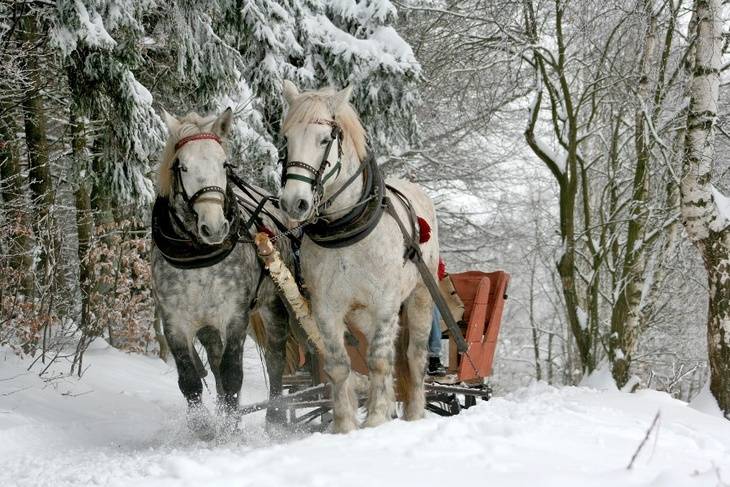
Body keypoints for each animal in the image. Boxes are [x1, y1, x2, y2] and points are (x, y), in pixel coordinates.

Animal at [278, 82, 438, 432]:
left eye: (325, 139)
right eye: (286, 139)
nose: (294, 203)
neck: (346, 228)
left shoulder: (386, 303)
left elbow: (379, 361)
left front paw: (376, 419)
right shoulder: (326, 308)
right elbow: (339, 365)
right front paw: (345, 426)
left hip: (419, 296)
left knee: (413, 356)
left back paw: (415, 413)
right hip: (362, 314)